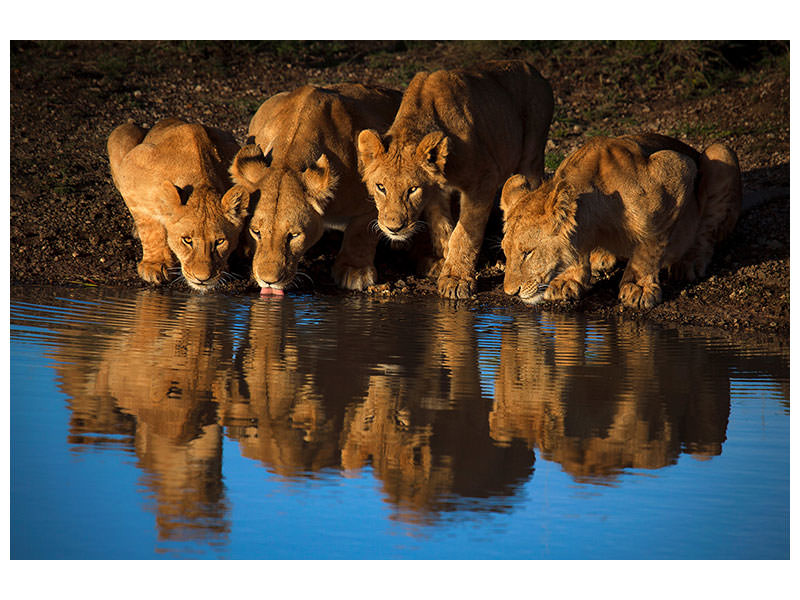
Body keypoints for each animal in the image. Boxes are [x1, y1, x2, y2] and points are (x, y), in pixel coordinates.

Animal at [108, 116, 248, 290]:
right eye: (187, 240)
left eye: (220, 241)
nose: (202, 279)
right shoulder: (130, 172)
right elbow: (151, 228)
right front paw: (155, 265)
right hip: (120, 133)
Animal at [231, 82, 404, 292]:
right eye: (256, 231)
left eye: (294, 235)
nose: (269, 281)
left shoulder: (375, 196)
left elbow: (361, 232)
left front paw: (355, 271)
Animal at [358, 58, 552, 298]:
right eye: (381, 187)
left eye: (412, 189)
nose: (394, 228)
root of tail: (534, 69)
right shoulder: (436, 192)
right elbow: (442, 227)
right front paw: (443, 262)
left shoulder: (484, 179)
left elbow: (464, 232)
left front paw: (456, 279)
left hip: (532, 153)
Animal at [500, 132, 744, 310]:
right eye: (506, 252)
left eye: (528, 252)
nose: (510, 293)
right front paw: (568, 279)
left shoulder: (676, 169)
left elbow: (650, 245)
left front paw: (638, 287)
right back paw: (602, 257)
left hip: (721, 154)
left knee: (707, 230)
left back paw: (688, 263)